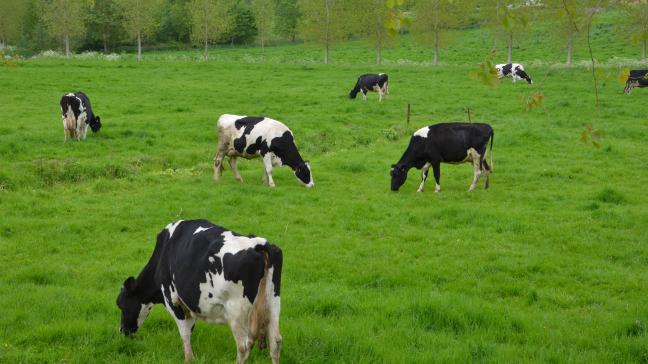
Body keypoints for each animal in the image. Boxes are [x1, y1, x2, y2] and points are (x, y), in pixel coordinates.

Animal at [117, 219, 284, 364]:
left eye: (121, 305)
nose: (123, 331)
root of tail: (259, 245)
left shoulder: (172, 300)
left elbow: (184, 332)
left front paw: (188, 359)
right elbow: (190, 330)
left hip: (237, 311)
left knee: (243, 346)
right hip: (273, 302)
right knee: (275, 341)